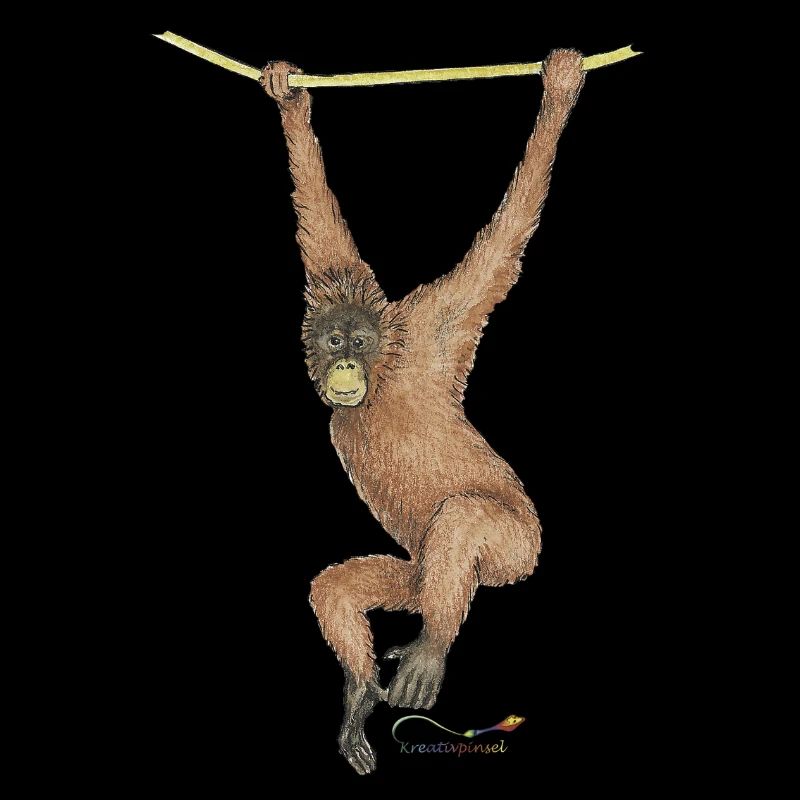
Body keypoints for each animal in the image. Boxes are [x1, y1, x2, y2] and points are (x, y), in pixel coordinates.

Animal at [260, 49, 585, 775]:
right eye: (334, 342)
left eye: (357, 342)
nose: (344, 366)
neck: (382, 382)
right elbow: (316, 216)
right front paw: (290, 101)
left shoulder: (431, 326)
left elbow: (501, 244)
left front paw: (559, 91)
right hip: (417, 577)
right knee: (342, 589)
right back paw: (360, 691)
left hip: (518, 546)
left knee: (464, 519)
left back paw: (433, 646)